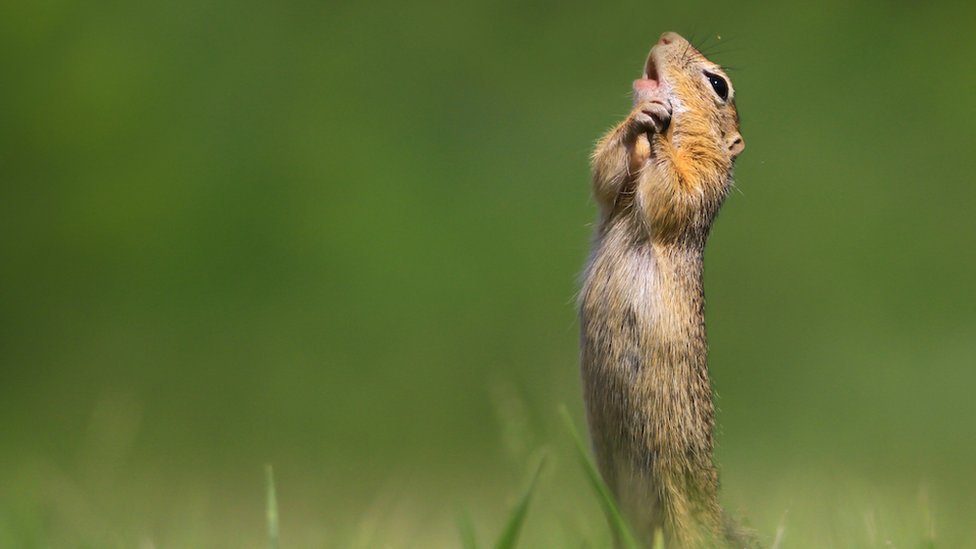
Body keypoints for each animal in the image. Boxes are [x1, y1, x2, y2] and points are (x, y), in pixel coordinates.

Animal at [580, 32, 756, 544]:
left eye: (719, 84)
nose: (666, 36)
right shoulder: (615, 193)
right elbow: (606, 174)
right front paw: (639, 120)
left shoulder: (703, 176)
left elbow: (673, 191)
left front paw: (658, 125)